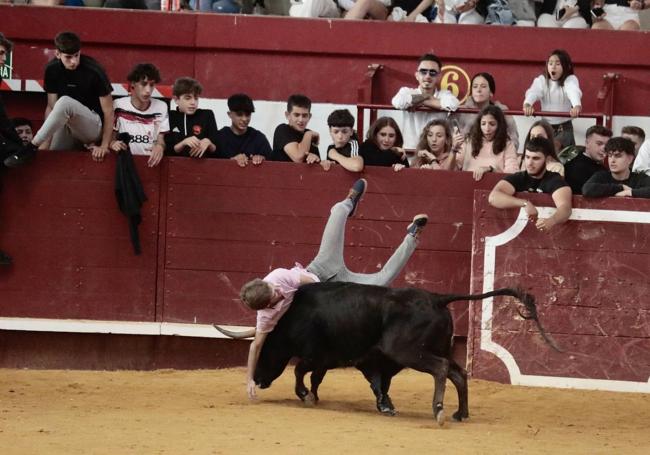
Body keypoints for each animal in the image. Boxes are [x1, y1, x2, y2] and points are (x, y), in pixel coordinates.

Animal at [251, 284, 556, 426]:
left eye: (264, 352)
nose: (256, 380)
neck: (291, 316)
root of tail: (437, 298)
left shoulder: (317, 354)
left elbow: (300, 371)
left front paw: (305, 396)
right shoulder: (351, 361)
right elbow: (329, 378)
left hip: (409, 352)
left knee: (441, 369)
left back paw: (438, 410)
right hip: (432, 349)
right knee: (459, 373)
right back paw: (460, 413)